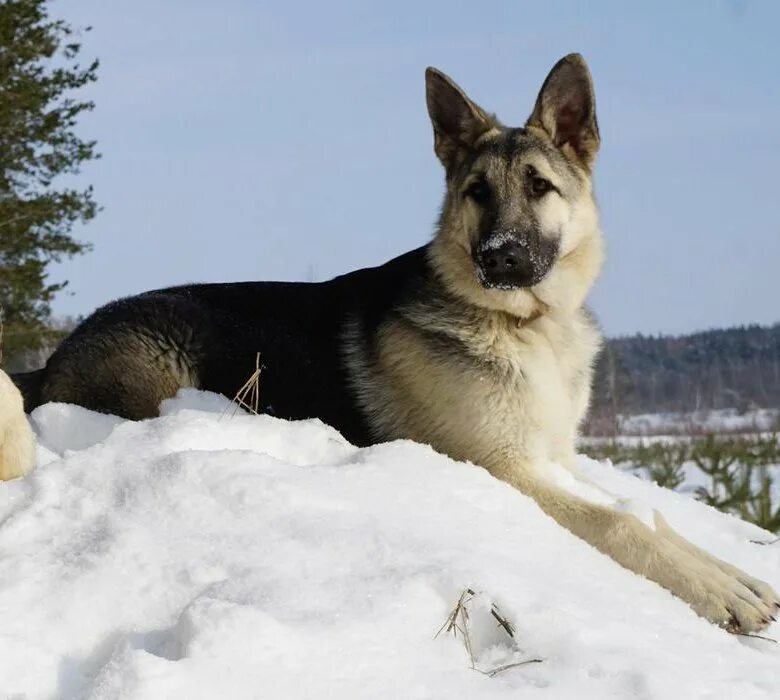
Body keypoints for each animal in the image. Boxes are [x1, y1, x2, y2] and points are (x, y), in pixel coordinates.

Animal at [3, 54, 776, 636]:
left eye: (539, 187)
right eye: (475, 192)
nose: (499, 258)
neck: (524, 325)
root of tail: (53, 358)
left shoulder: (552, 457)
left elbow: (647, 512)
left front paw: (733, 573)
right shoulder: (502, 468)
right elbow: (617, 524)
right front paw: (717, 593)